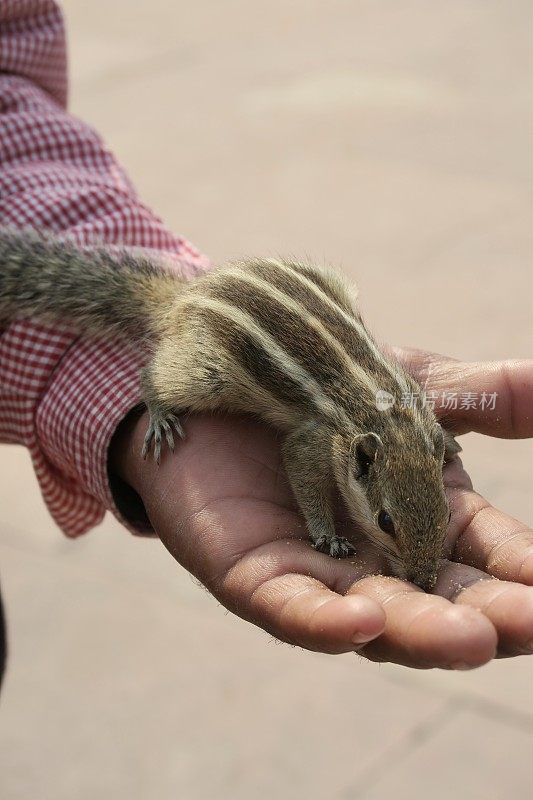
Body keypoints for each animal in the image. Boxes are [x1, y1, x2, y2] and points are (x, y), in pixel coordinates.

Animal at [0, 228, 460, 592]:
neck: (391, 420)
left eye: (447, 510)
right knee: (155, 372)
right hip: (209, 373)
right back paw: (160, 413)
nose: (424, 581)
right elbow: (301, 471)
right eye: (385, 522)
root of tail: (185, 296)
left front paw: (449, 445)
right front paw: (328, 537)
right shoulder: (316, 438)